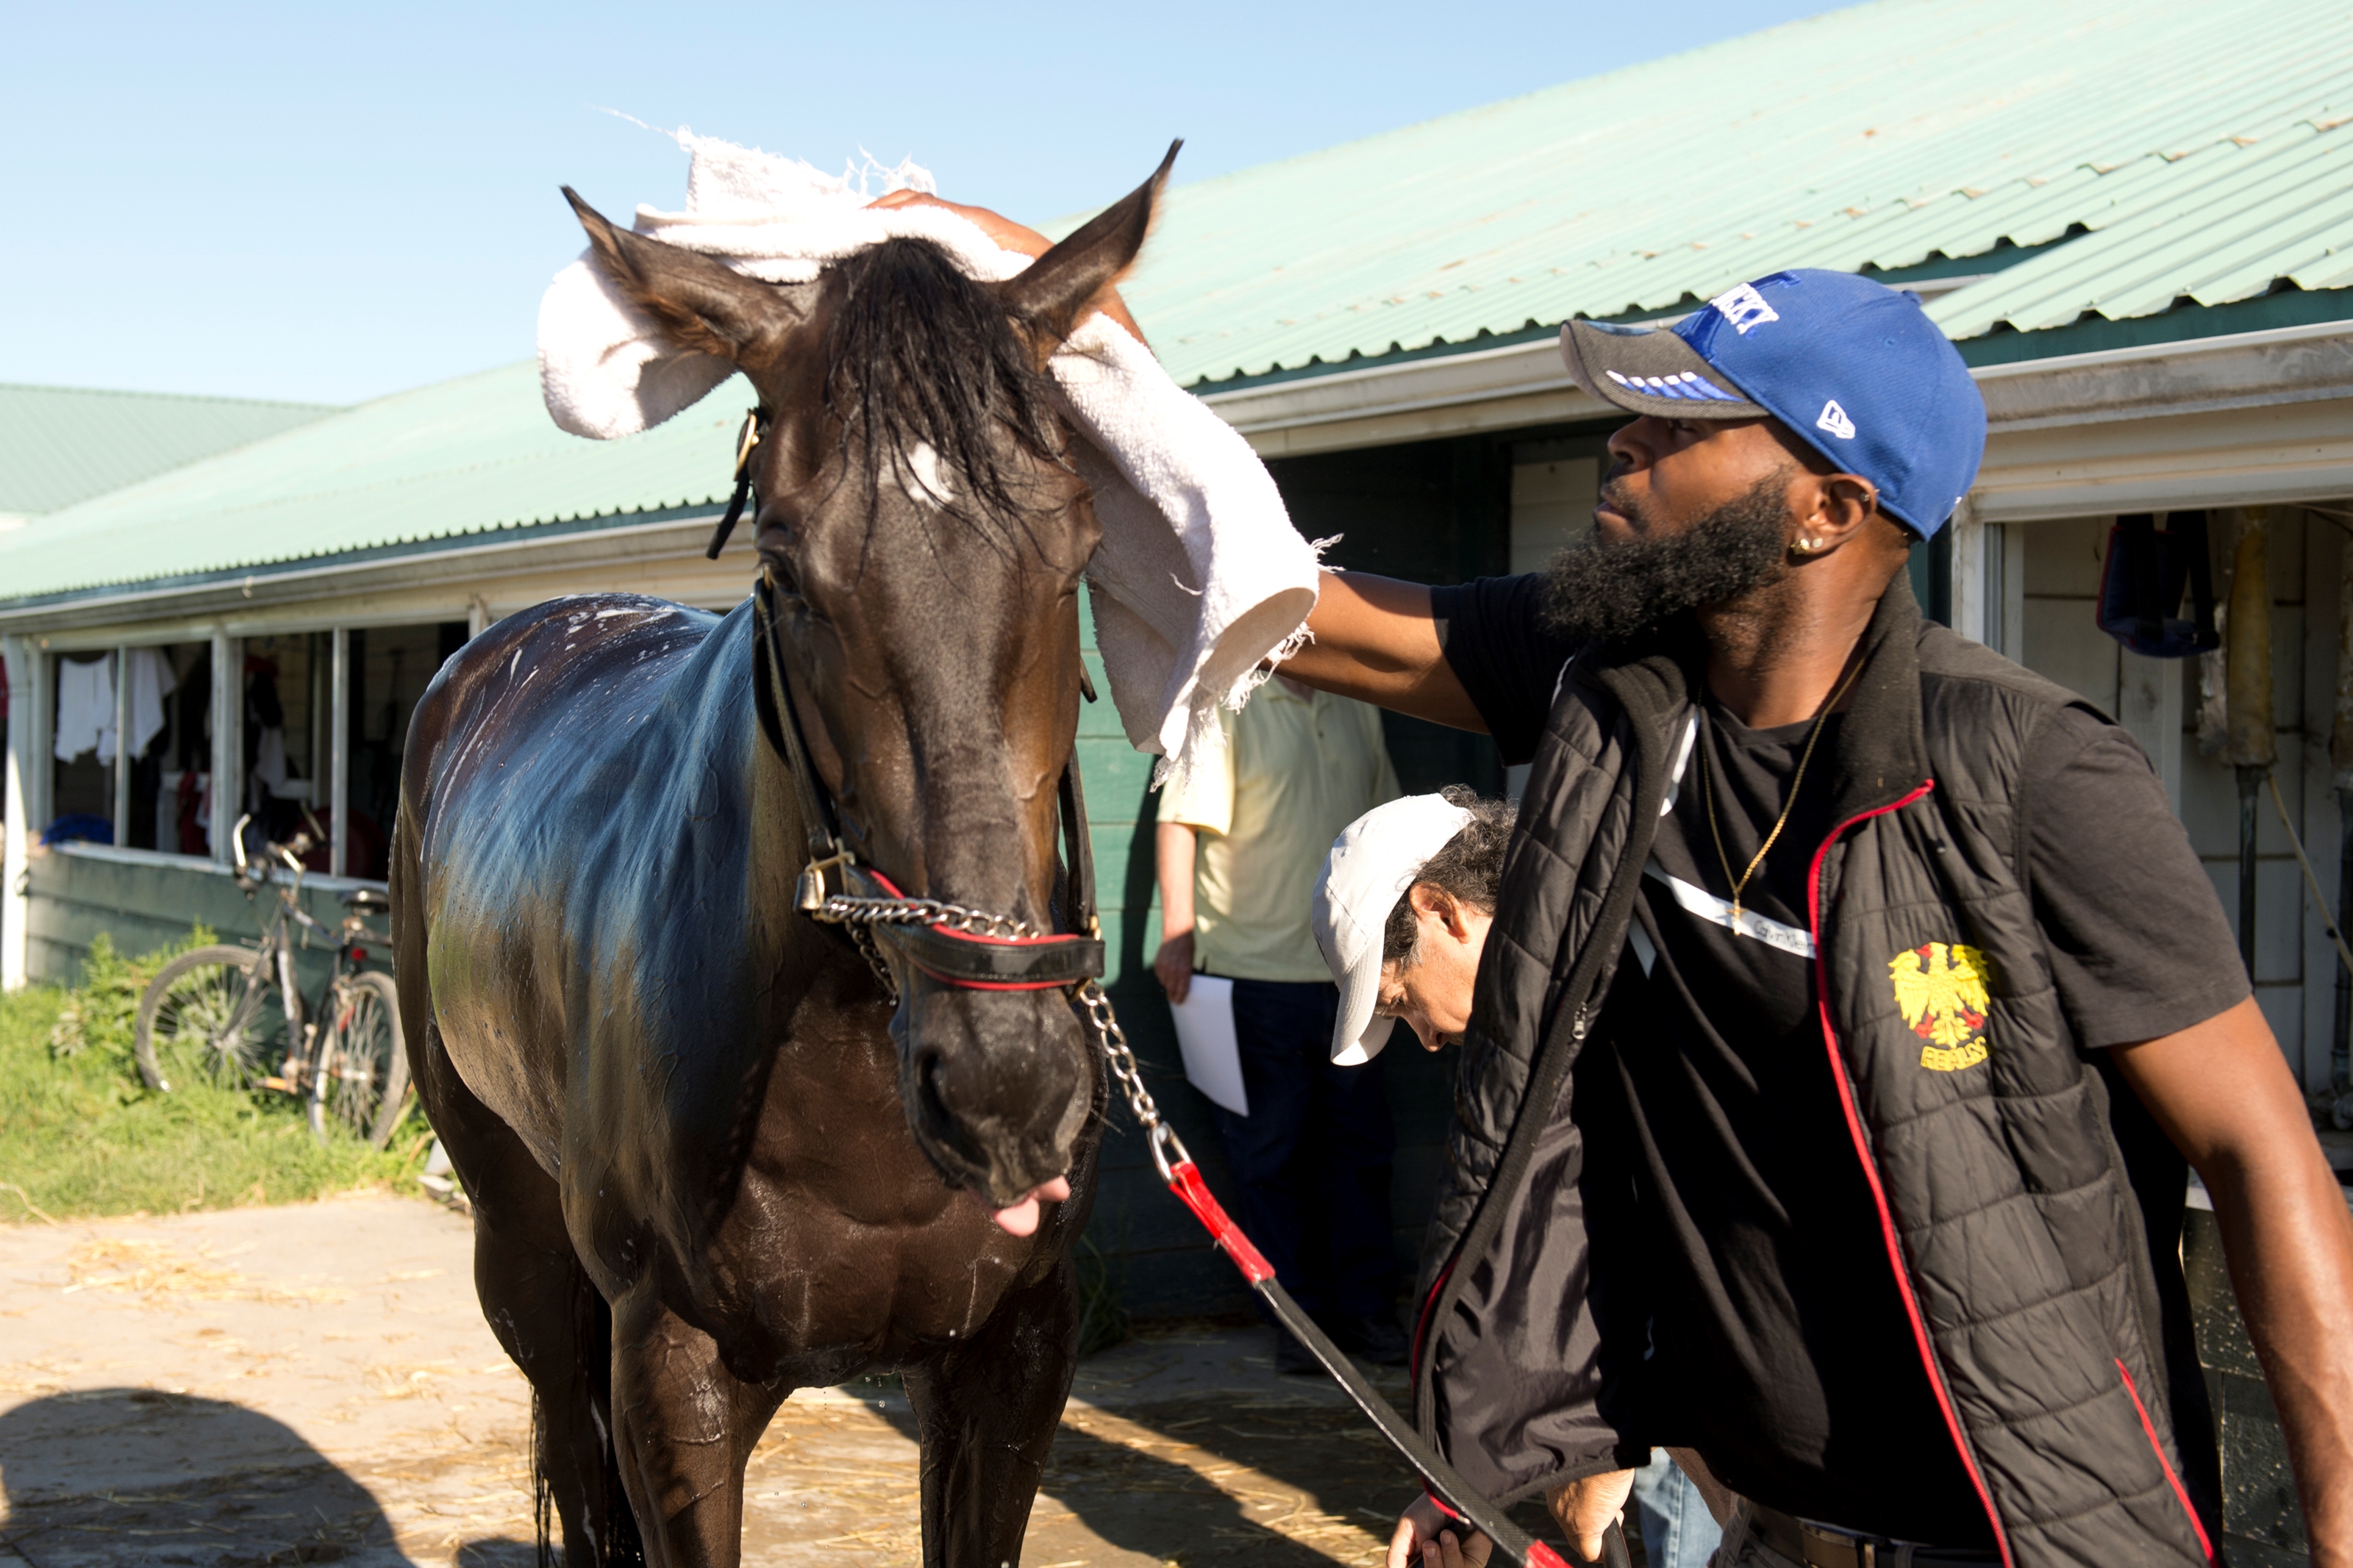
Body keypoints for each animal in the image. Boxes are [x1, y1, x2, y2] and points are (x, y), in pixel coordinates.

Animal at [395, 150, 1185, 1568]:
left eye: (1079, 550)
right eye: (786, 566)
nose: (1005, 1087)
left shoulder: (1011, 1360)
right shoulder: (674, 1375)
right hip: (523, 1256)